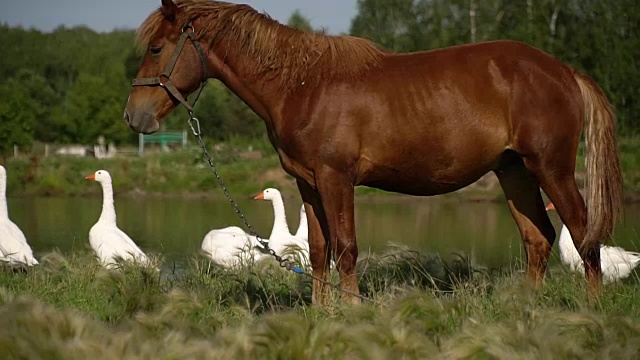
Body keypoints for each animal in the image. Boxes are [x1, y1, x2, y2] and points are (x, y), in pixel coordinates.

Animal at [124, 0, 620, 304]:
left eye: (157, 47)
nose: (134, 116)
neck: (302, 84)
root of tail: (564, 71)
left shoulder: (336, 178)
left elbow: (345, 249)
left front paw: (351, 315)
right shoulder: (308, 183)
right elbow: (318, 251)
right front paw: (321, 315)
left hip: (551, 168)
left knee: (583, 234)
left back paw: (589, 311)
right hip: (513, 171)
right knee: (538, 238)